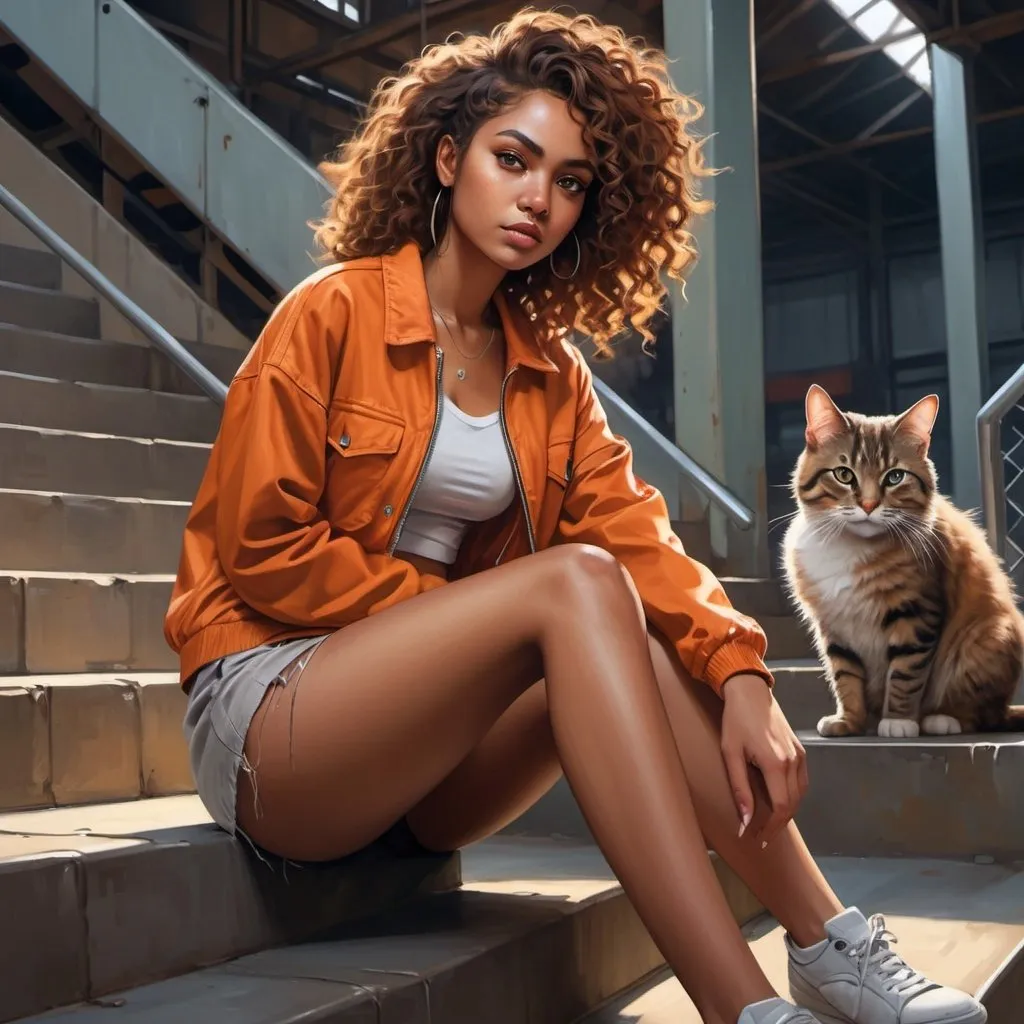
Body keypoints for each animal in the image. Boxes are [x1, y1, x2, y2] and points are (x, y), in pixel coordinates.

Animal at [778, 385, 1019, 737]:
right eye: (843, 474)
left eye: (894, 477)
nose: (868, 505)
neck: (850, 546)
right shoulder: (834, 624)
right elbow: (845, 675)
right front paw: (849, 721)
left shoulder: (917, 613)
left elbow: (905, 674)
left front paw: (899, 720)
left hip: (987, 636)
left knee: (981, 713)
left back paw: (941, 719)